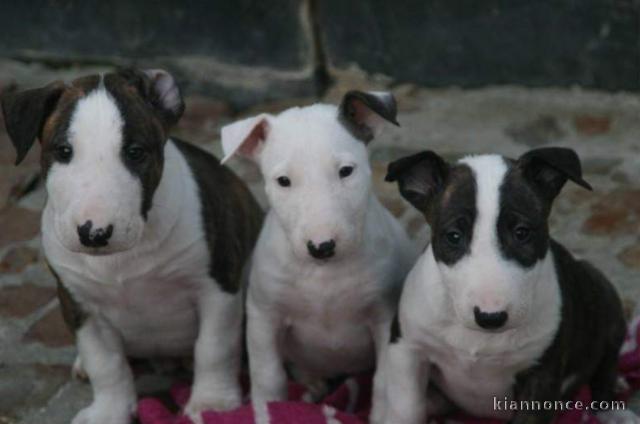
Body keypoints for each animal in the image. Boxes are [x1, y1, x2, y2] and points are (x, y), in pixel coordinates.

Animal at [1, 69, 262, 424]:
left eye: (135, 152)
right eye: (64, 151)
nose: (94, 233)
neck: (121, 260)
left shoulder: (218, 285)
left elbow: (214, 346)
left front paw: (213, 404)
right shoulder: (79, 303)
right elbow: (105, 363)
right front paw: (108, 412)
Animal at [221, 92, 420, 424]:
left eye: (346, 171)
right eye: (283, 180)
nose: (322, 246)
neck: (323, 274)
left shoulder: (384, 317)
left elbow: (383, 379)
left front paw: (380, 415)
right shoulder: (263, 315)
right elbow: (268, 375)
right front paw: (267, 410)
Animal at [380, 148, 636, 424]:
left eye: (522, 232)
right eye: (453, 236)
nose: (490, 317)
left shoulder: (541, 375)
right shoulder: (407, 348)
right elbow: (406, 408)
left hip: (606, 300)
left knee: (605, 368)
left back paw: (614, 405)